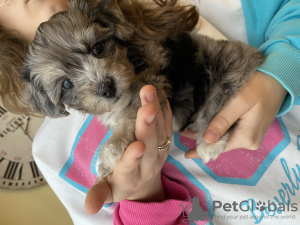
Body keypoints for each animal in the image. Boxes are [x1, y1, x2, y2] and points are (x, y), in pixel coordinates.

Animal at [21, 0, 264, 179]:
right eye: (66, 84)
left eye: (98, 48)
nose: (107, 87)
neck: (131, 62)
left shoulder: (152, 85)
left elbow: (130, 114)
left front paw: (110, 151)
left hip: (223, 73)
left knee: (218, 103)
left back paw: (210, 142)